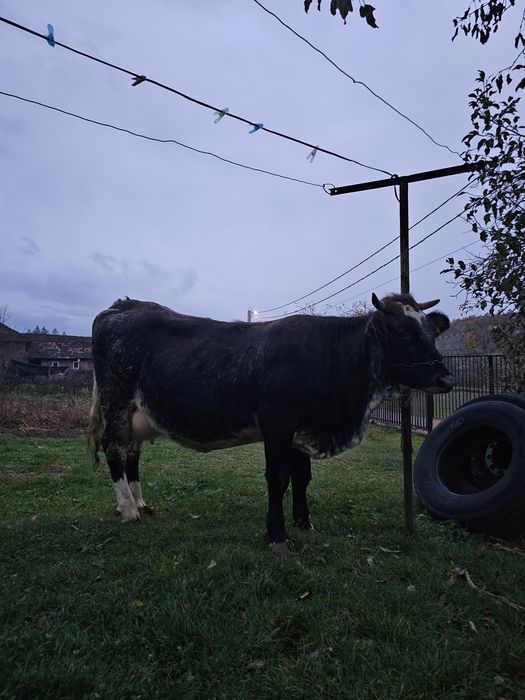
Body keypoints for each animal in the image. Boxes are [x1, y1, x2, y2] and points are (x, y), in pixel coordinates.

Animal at [88, 293, 455, 553]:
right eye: (402, 332)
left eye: (430, 331)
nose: (446, 378)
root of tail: (123, 304)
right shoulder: (278, 422)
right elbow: (278, 478)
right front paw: (277, 536)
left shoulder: (302, 429)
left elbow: (302, 478)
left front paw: (305, 524)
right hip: (116, 400)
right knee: (114, 450)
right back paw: (128, 510)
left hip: (137, 413)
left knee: (132, 454)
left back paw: (140, 503)